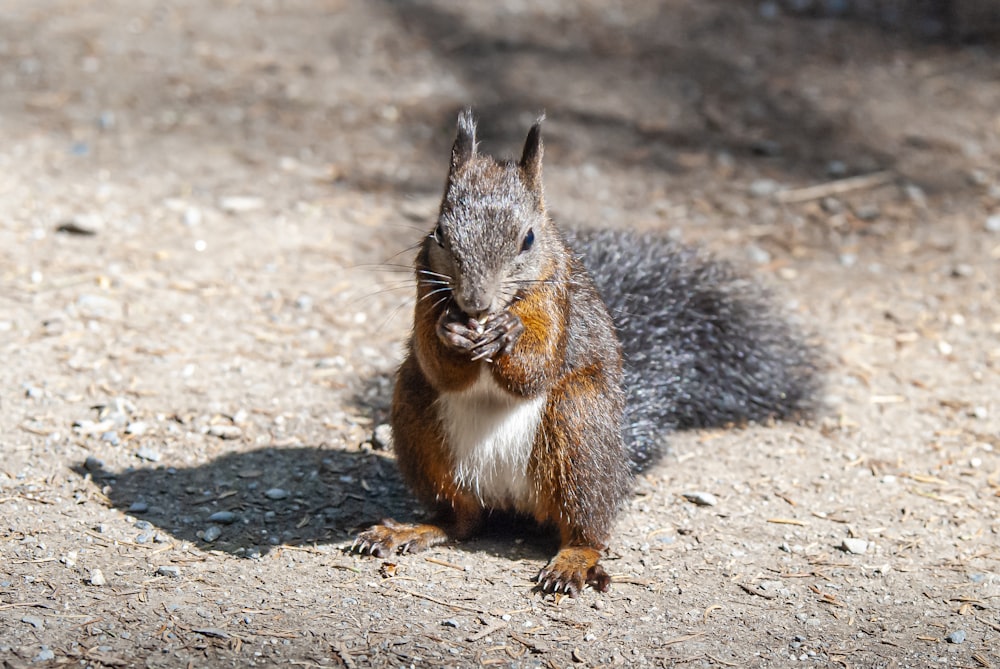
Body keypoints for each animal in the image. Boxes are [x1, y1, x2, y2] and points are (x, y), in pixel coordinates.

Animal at [352, 109, 820, 596]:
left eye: (528, 239)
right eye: (440, 234)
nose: (476, 303)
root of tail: (508, 499)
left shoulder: (560, 304)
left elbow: (537, 368)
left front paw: (508, 334)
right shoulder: (426, 290)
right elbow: (438, 365)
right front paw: (451, 331)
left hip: (579, 428)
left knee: (586, 526)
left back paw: (572, 561)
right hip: (418, 420)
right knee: (460, 520)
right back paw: (411, 529)